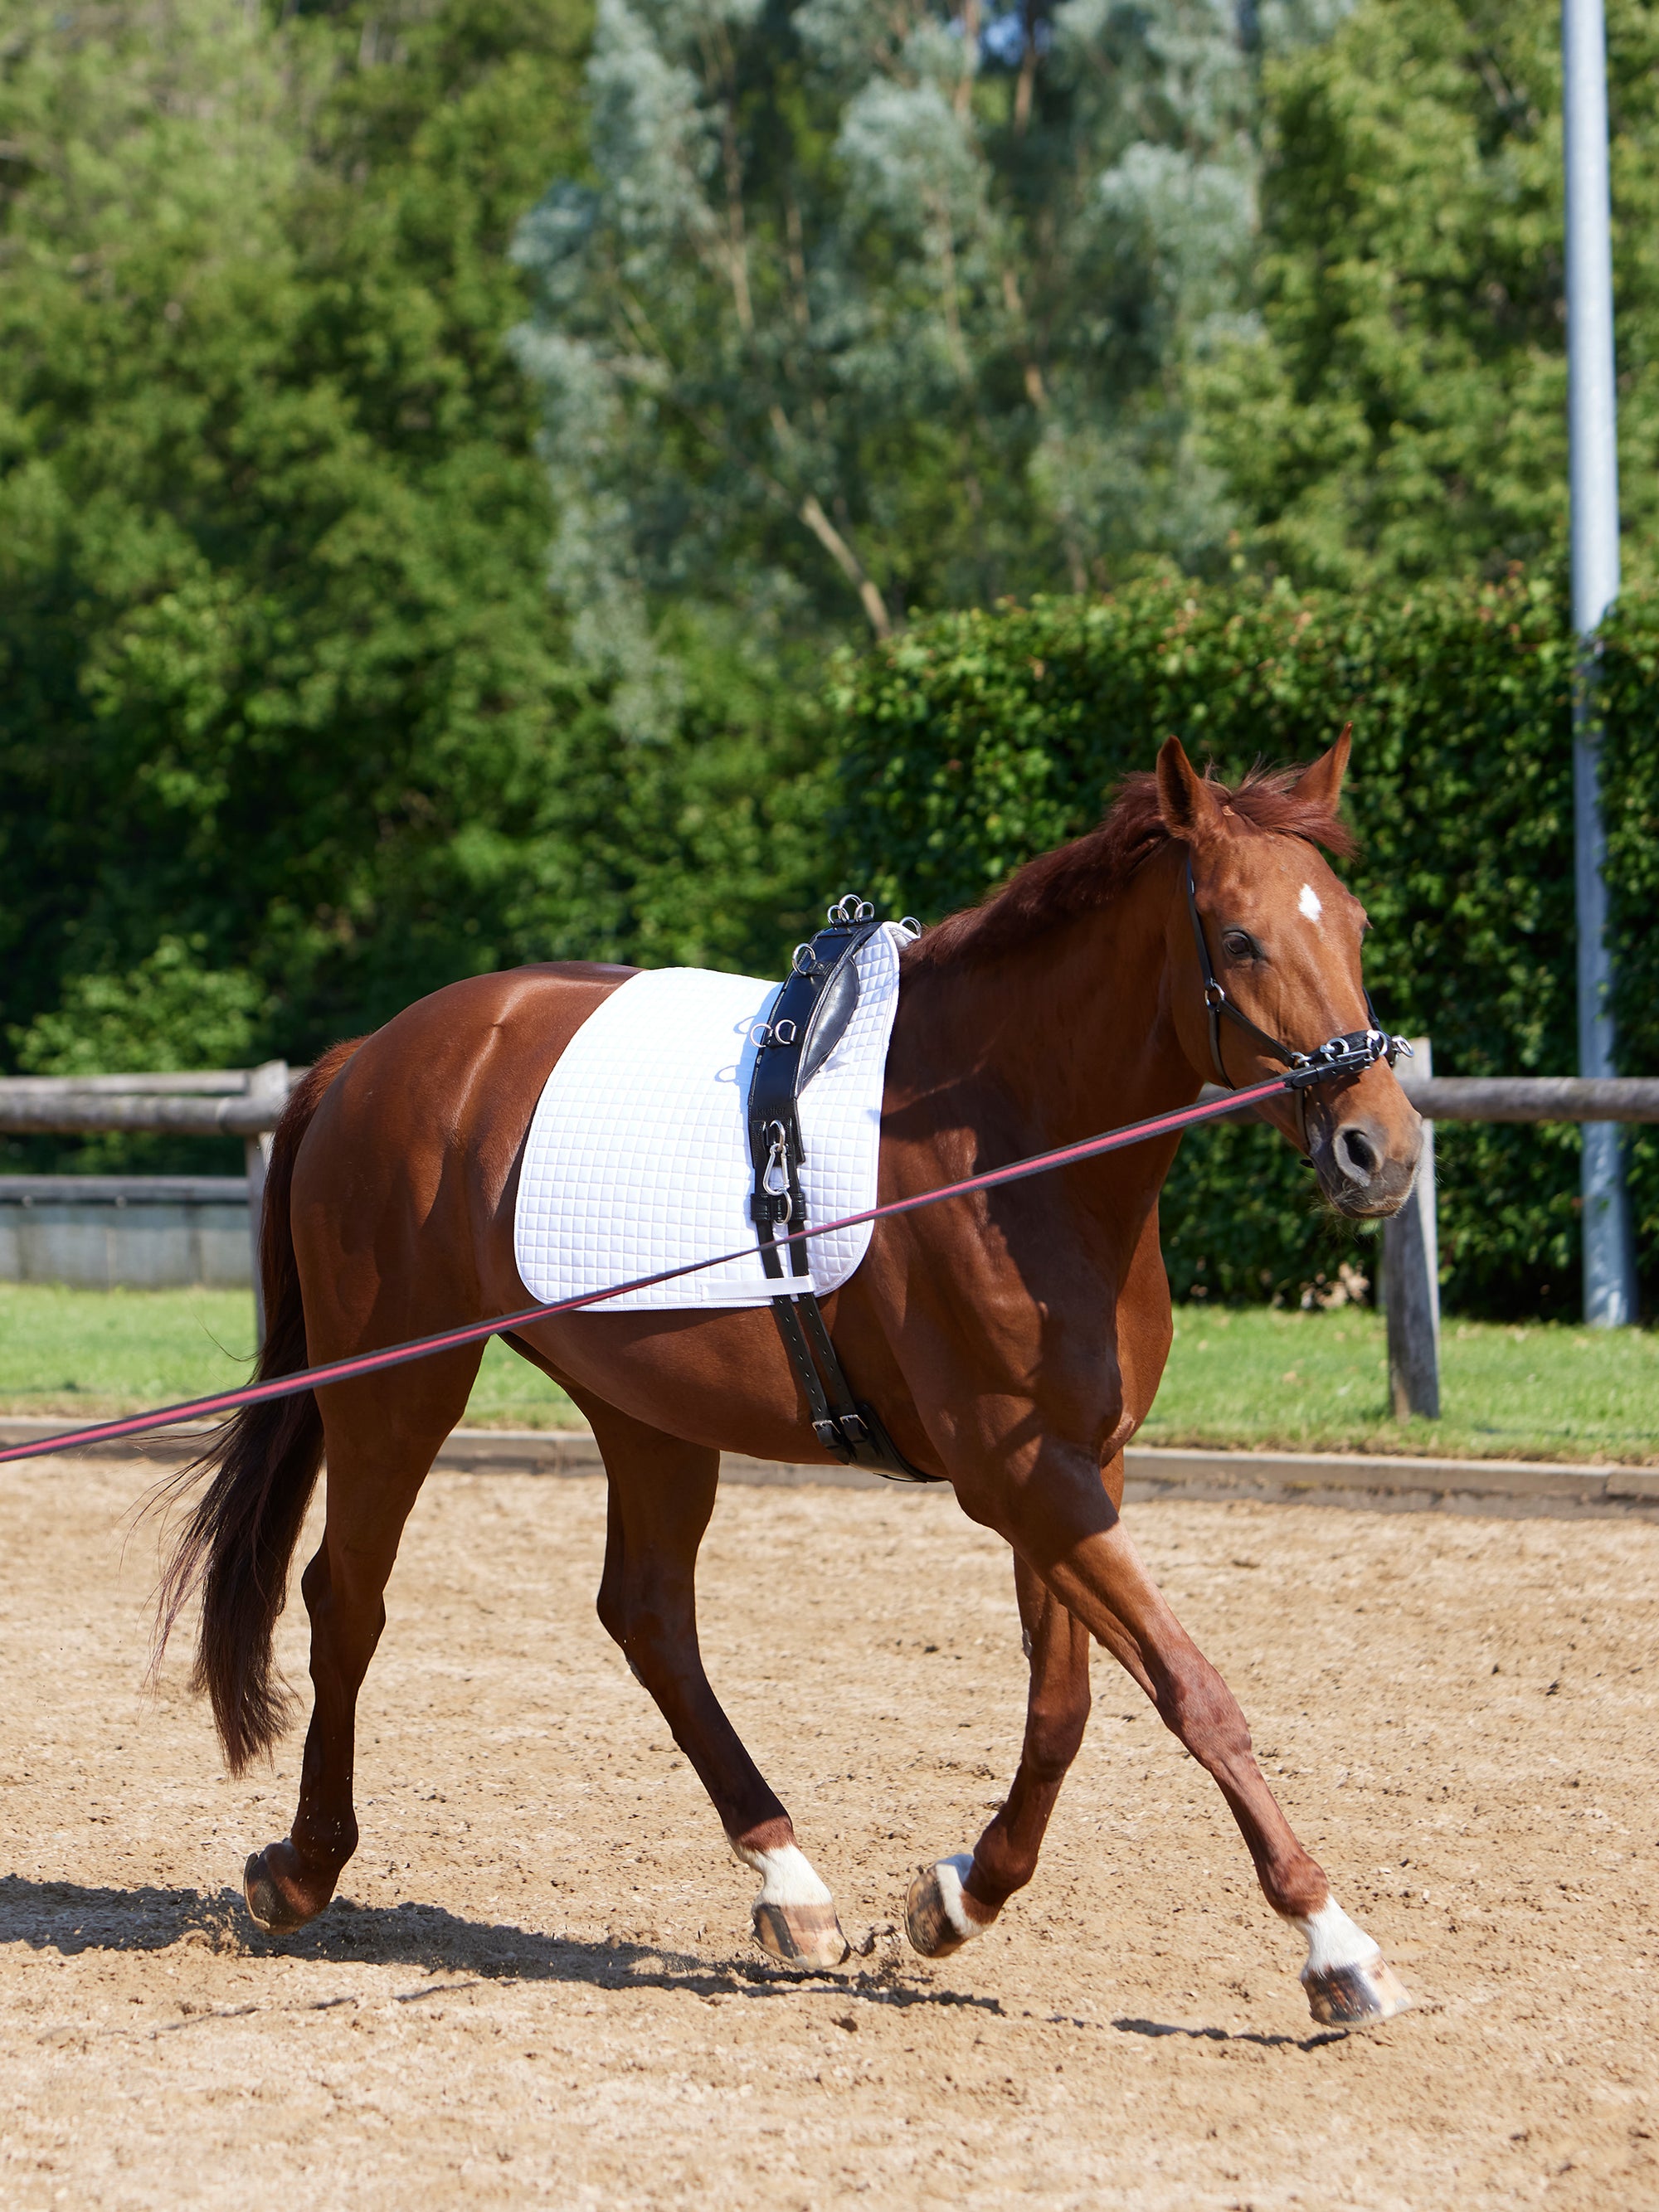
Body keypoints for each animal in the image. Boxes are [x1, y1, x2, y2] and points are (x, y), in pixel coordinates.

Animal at [159, 730, 1423, 2027]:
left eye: (1357, 927)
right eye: (1240, 939)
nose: (1380, 1150)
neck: (1004, 1140)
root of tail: (371, 1057)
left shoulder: (1077, 1468)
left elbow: (1062, 1708)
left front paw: (958, 1897)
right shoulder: (1021, 1477)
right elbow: (1190, 1689)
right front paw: (1333, 1945)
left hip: (646, 1408)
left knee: (647, 1614)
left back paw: (789, 1879)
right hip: (396, 1389)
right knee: (347, 1599)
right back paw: (302, 1868)